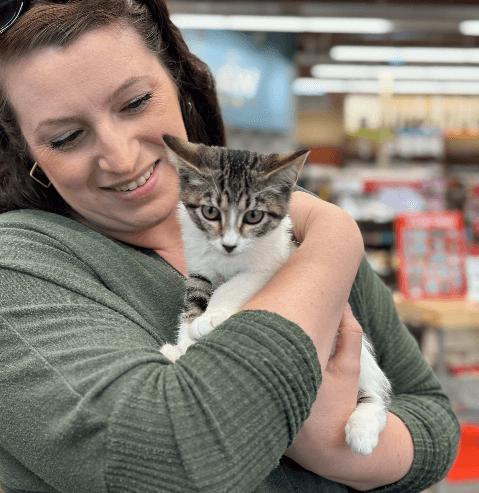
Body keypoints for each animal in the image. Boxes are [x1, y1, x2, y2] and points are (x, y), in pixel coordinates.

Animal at [159, 134, 392, 454]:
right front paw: (182, 346)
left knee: (375, 397)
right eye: (210, 212)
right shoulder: (198, 267)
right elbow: (192, 306)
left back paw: (363, 429)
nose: (229, 245)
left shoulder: (274, 262)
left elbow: (235, 285)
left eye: (254, 216)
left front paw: (212, 315)